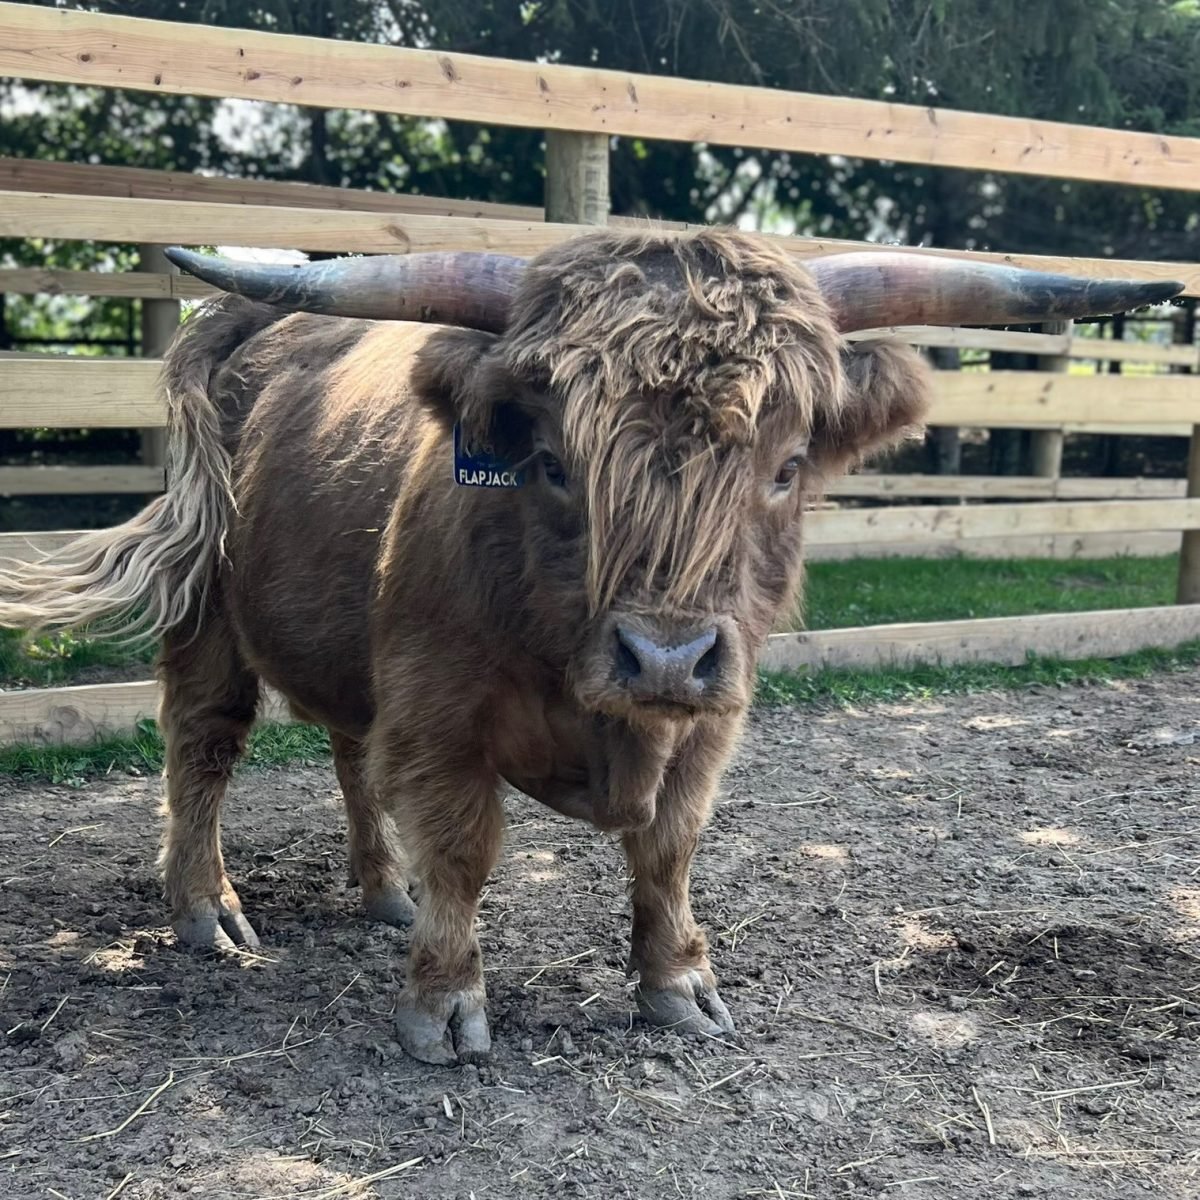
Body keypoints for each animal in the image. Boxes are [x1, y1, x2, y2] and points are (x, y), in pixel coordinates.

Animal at [0, 227, 1178, 1065]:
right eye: (555, 462)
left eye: (787, 465)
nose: (664, 659)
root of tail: (253, 311)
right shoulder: (441, 713)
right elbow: (464, 851)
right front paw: (445, 1005)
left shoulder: (711, 722)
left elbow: (669, 848)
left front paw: (680, 986)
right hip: (212, 616)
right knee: (205, 742)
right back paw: (207, 910)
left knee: (346, 753)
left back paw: (382, 893)